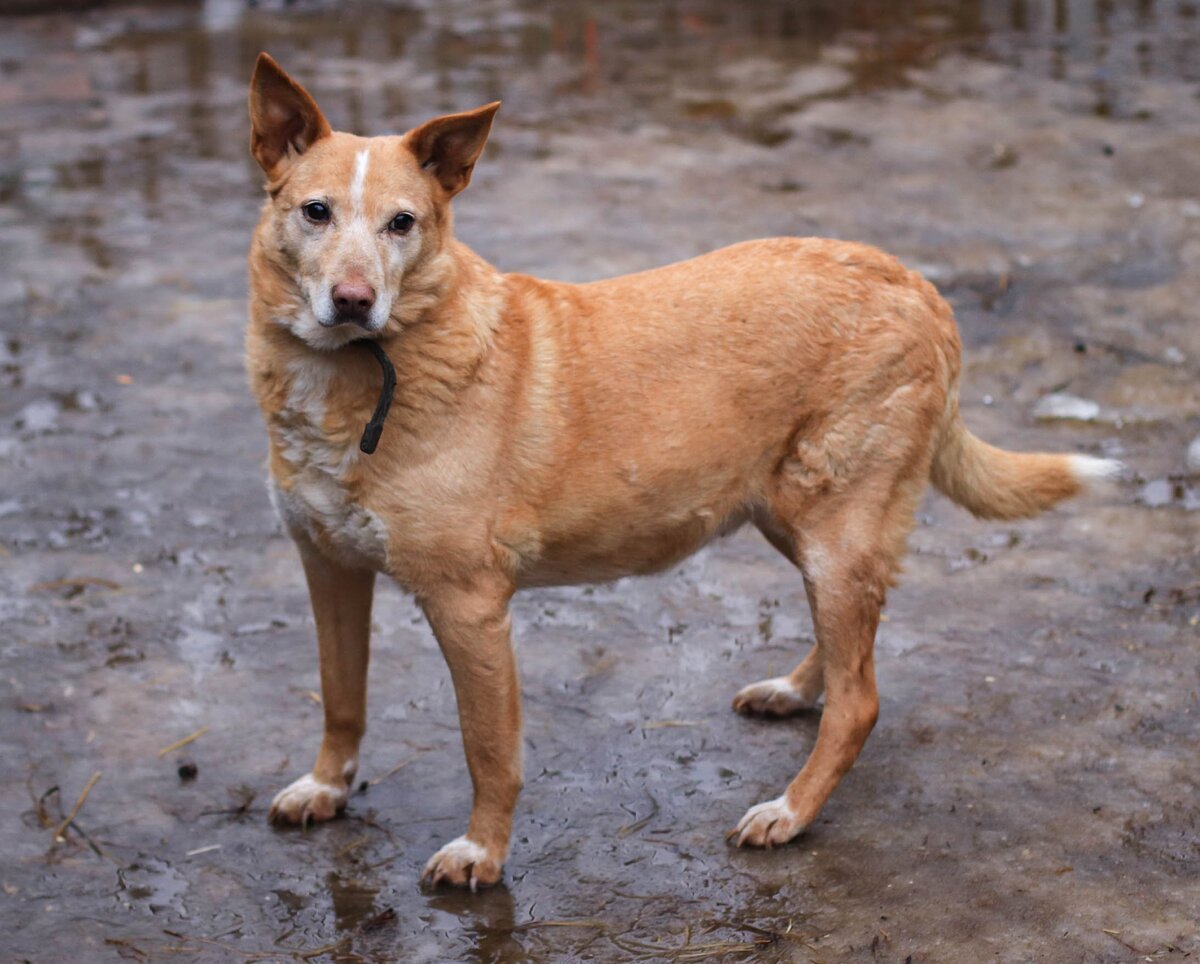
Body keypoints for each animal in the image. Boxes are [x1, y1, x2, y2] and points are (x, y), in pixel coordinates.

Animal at [246, 54, 1123, 888]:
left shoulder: (469, 605)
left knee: (861, 700)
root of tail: (916, 284)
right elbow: (341, 695)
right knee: (856, 649)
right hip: (798, 520)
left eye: (403, 224)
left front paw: (482, 854)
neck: (358, 368)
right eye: (315, 211)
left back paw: (789, 812)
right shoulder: (326, 565)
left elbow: (488, 748)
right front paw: (326, 787)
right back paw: (796, 690)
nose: (353, 300)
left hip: (832, 528)